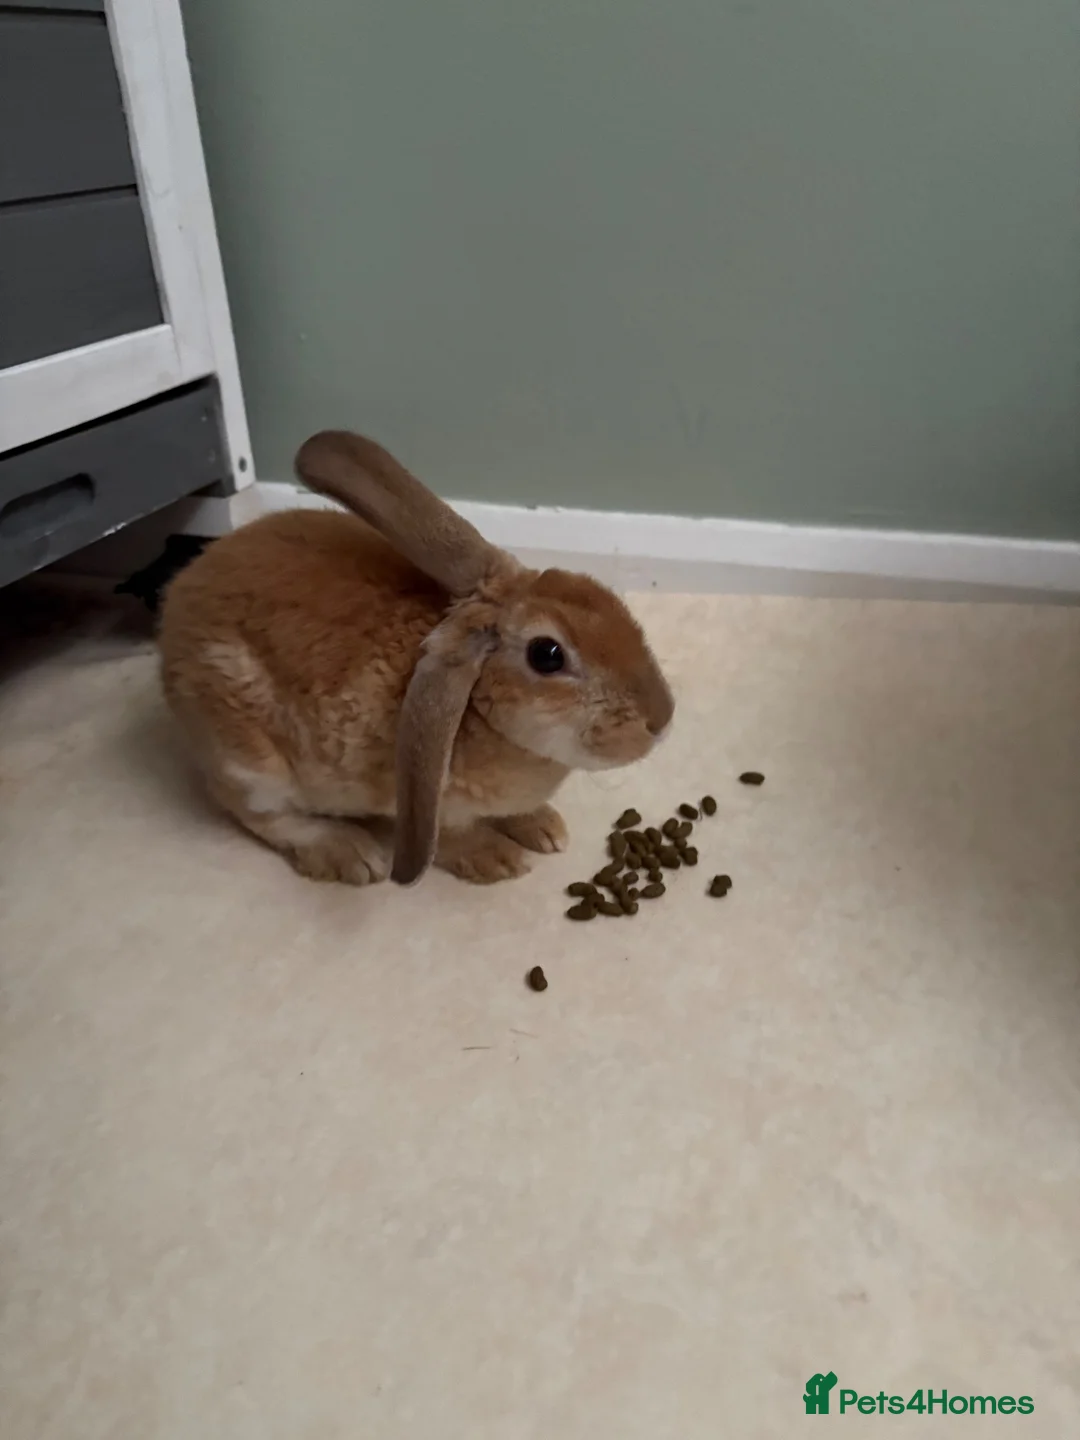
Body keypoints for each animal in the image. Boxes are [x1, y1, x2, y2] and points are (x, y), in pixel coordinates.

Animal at [158, 431, 674, 887]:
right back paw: (349, 853)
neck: (477, 710)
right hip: (249, 759)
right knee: (261, 814)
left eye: (600, 592)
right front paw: (497, 860)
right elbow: (452, 836)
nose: (661, 719)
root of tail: (176, 602)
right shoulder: (427, 805)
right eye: (547, 655)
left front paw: (545, 828)